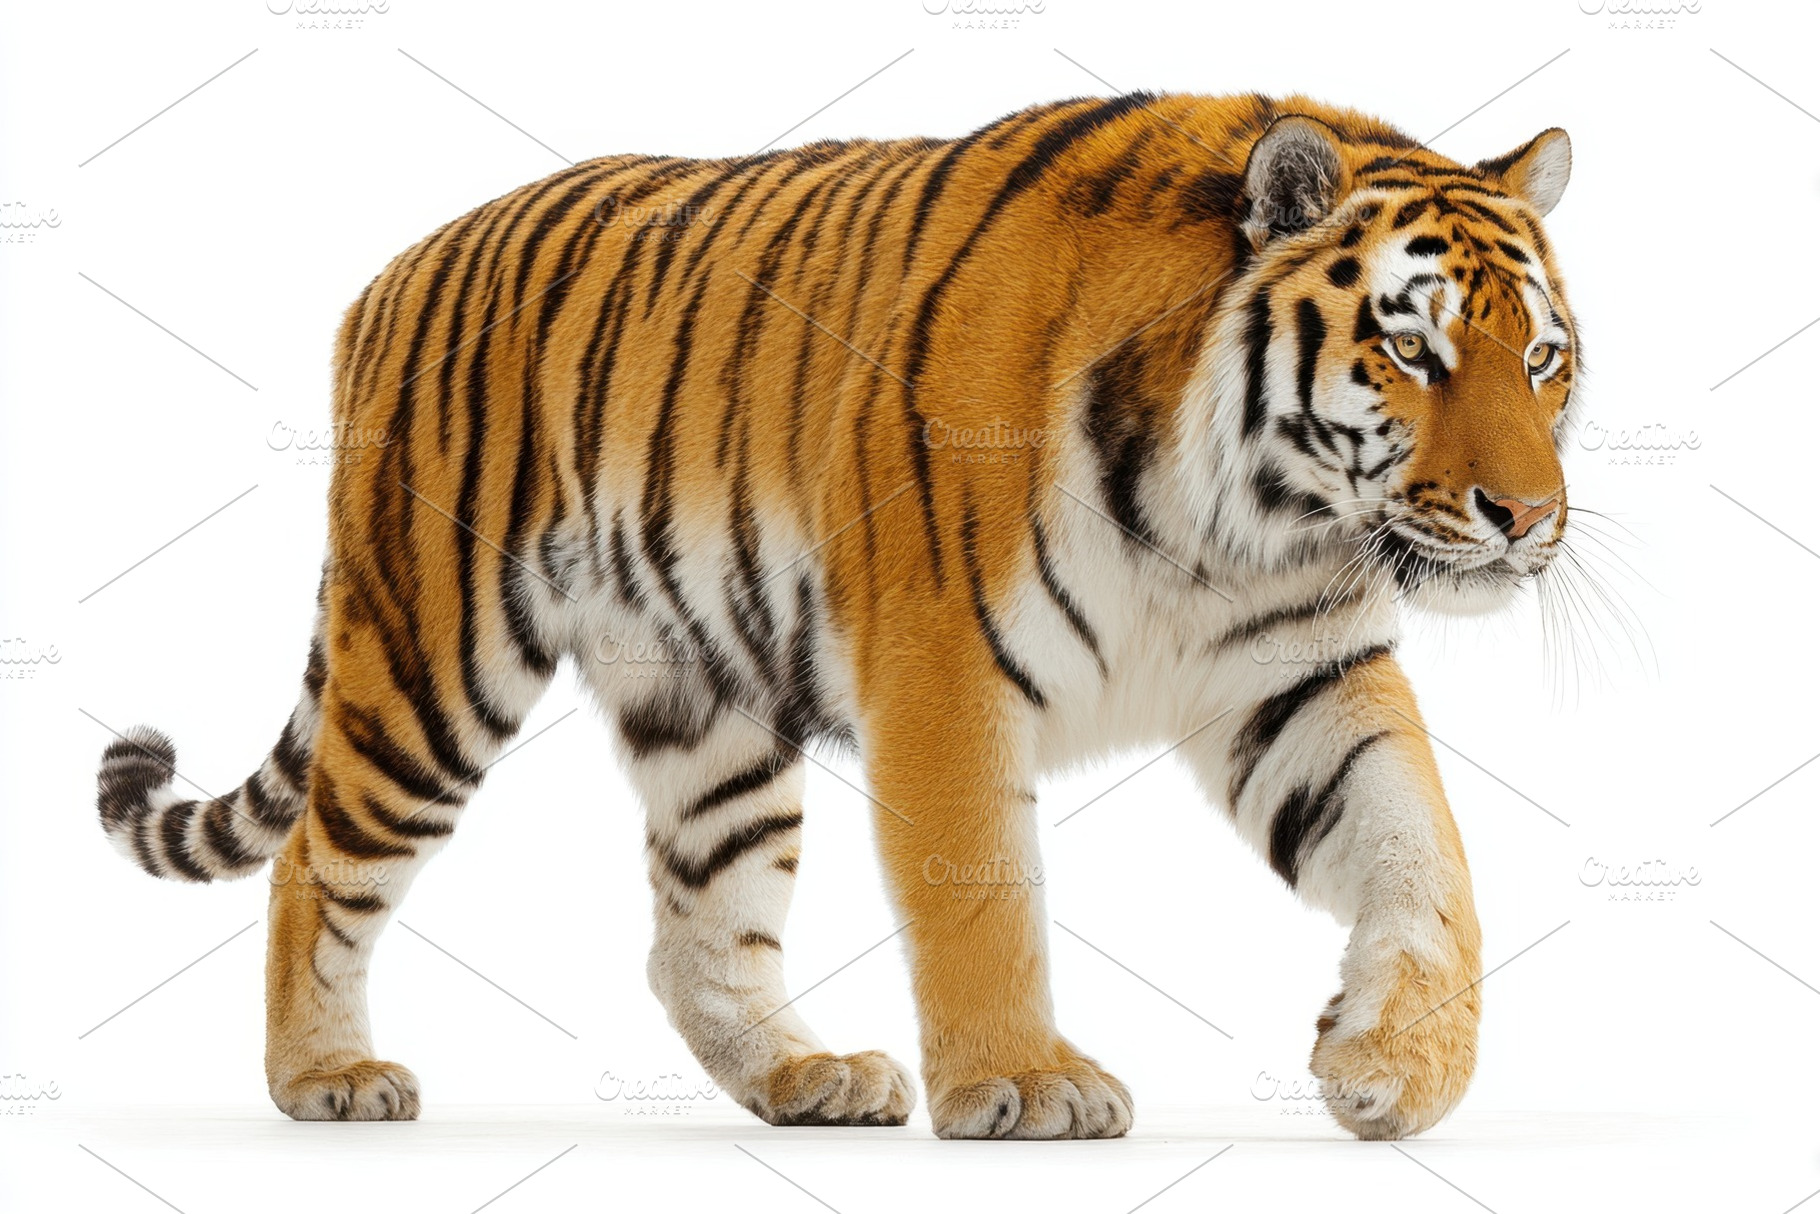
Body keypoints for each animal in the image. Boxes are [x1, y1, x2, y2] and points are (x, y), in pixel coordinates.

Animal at [94, 91, 1577, 1140]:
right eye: (1411, 348)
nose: (1524, 514)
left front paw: (1397, 1063)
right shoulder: (944, 663)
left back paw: (805, 1076)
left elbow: (1425, 855)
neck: (1246, 520)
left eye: (1542, 358)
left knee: (695, 931)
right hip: (430, 659)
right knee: (315, 858)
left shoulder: (1299, 672)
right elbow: (979, 889)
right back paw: (325, 1075)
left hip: (704, 706)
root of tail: (389, 273)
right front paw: (1025, 1083)